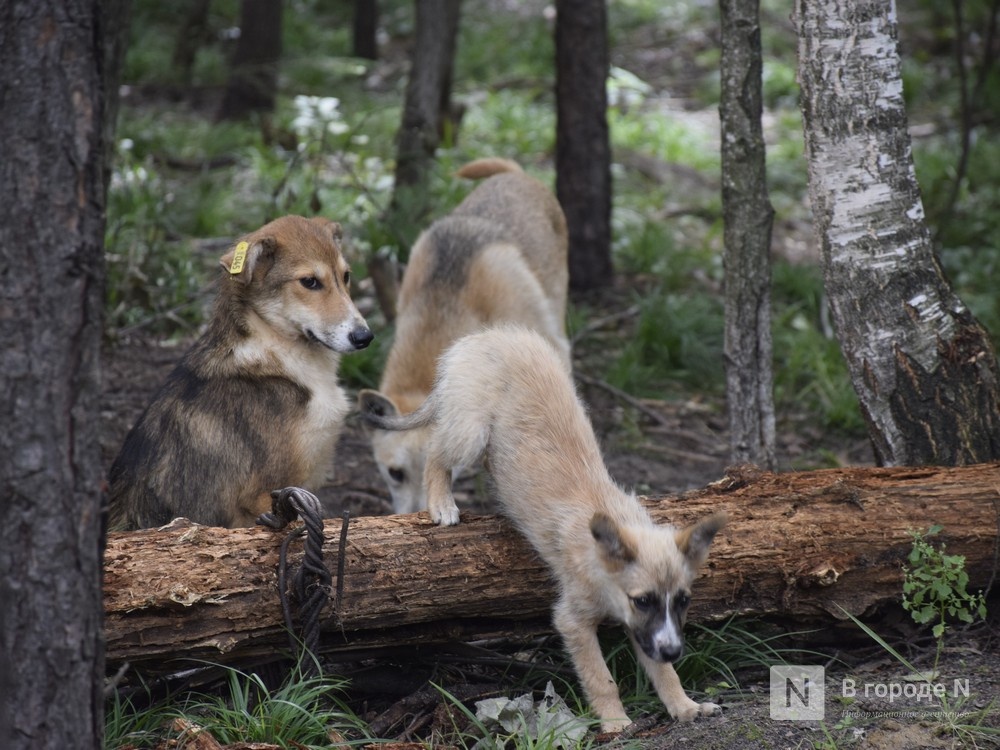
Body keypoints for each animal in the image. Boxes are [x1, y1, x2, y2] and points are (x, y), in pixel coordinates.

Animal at [362, 326, 728, 732]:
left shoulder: (646, 630)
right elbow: (602, 679)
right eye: (643, 600)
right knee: (435, 455)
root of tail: (483, 336)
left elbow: (663, 672)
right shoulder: (573, 622)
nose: (674, 650)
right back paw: (441, 503)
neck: (600, 551)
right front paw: (616, 723)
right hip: (470, 430)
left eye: (683, 600)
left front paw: (684, 706)